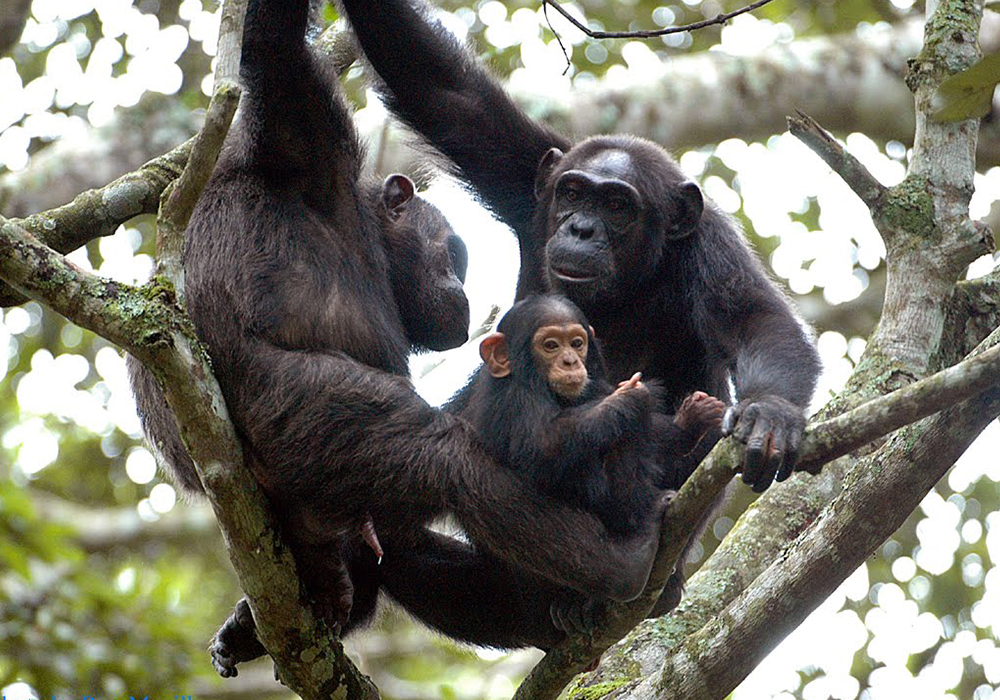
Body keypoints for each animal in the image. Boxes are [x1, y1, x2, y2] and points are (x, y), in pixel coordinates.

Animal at [458, 296, 724, 536]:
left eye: (577, 343)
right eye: (550, 345)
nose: (570, 361)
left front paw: (689, 421)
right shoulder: (516, 396)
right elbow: (541, 443)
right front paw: (630, 398)